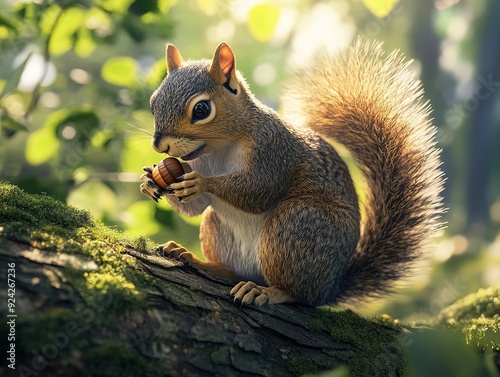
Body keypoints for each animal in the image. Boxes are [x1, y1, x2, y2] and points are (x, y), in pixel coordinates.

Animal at [139, 39, 444, 306]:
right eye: (153, 103)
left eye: (202, 109)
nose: (159, 146)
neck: (218, 149)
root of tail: (329, 288)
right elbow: (196, 207)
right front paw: (149, 180)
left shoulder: (274, 150)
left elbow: (260, 190)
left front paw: (202, 183)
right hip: (219, 227)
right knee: (233, 270)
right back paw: (195, 259)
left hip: (296, 223)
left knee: (296, 292)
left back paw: (266, 292)